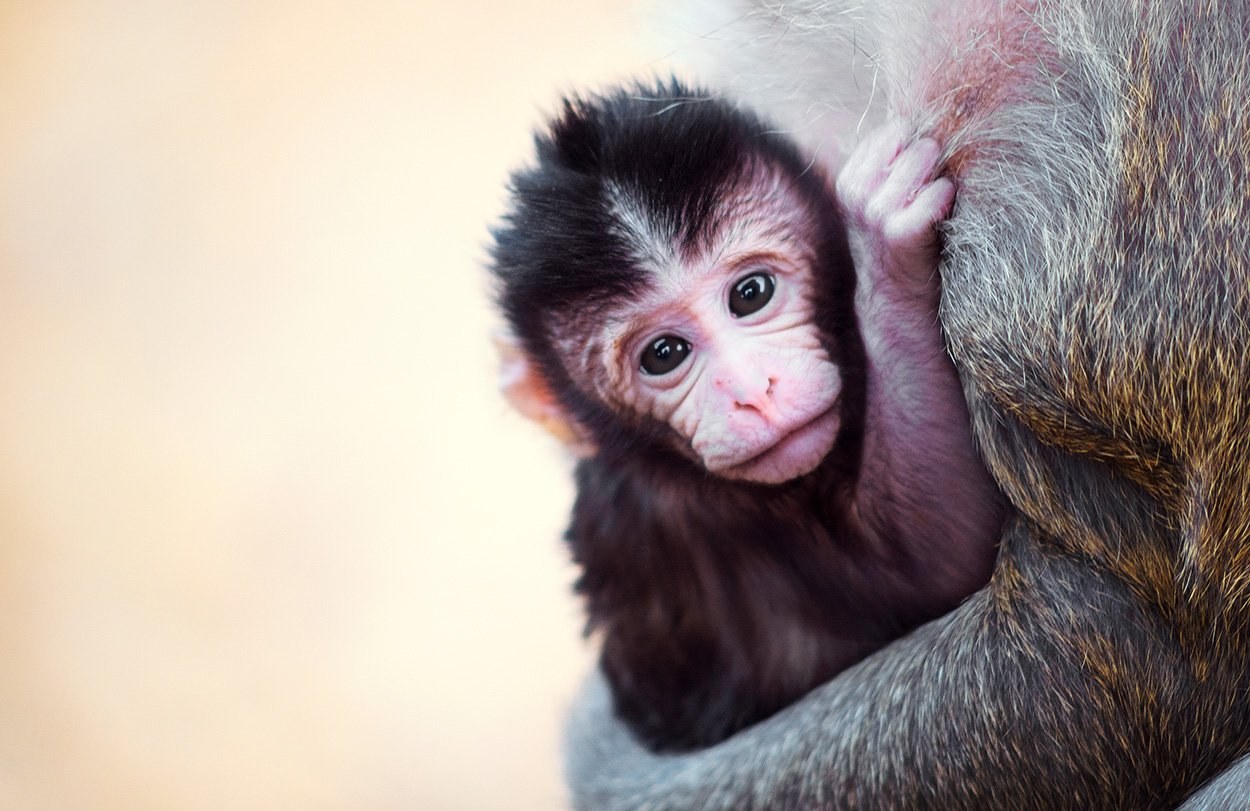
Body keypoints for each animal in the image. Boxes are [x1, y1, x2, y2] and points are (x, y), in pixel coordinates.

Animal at [491, 80, 1005, 752]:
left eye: (750, 294)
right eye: (663, 354)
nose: (753, 391)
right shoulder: (665, 517)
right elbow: (941, 566)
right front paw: (883, 254)